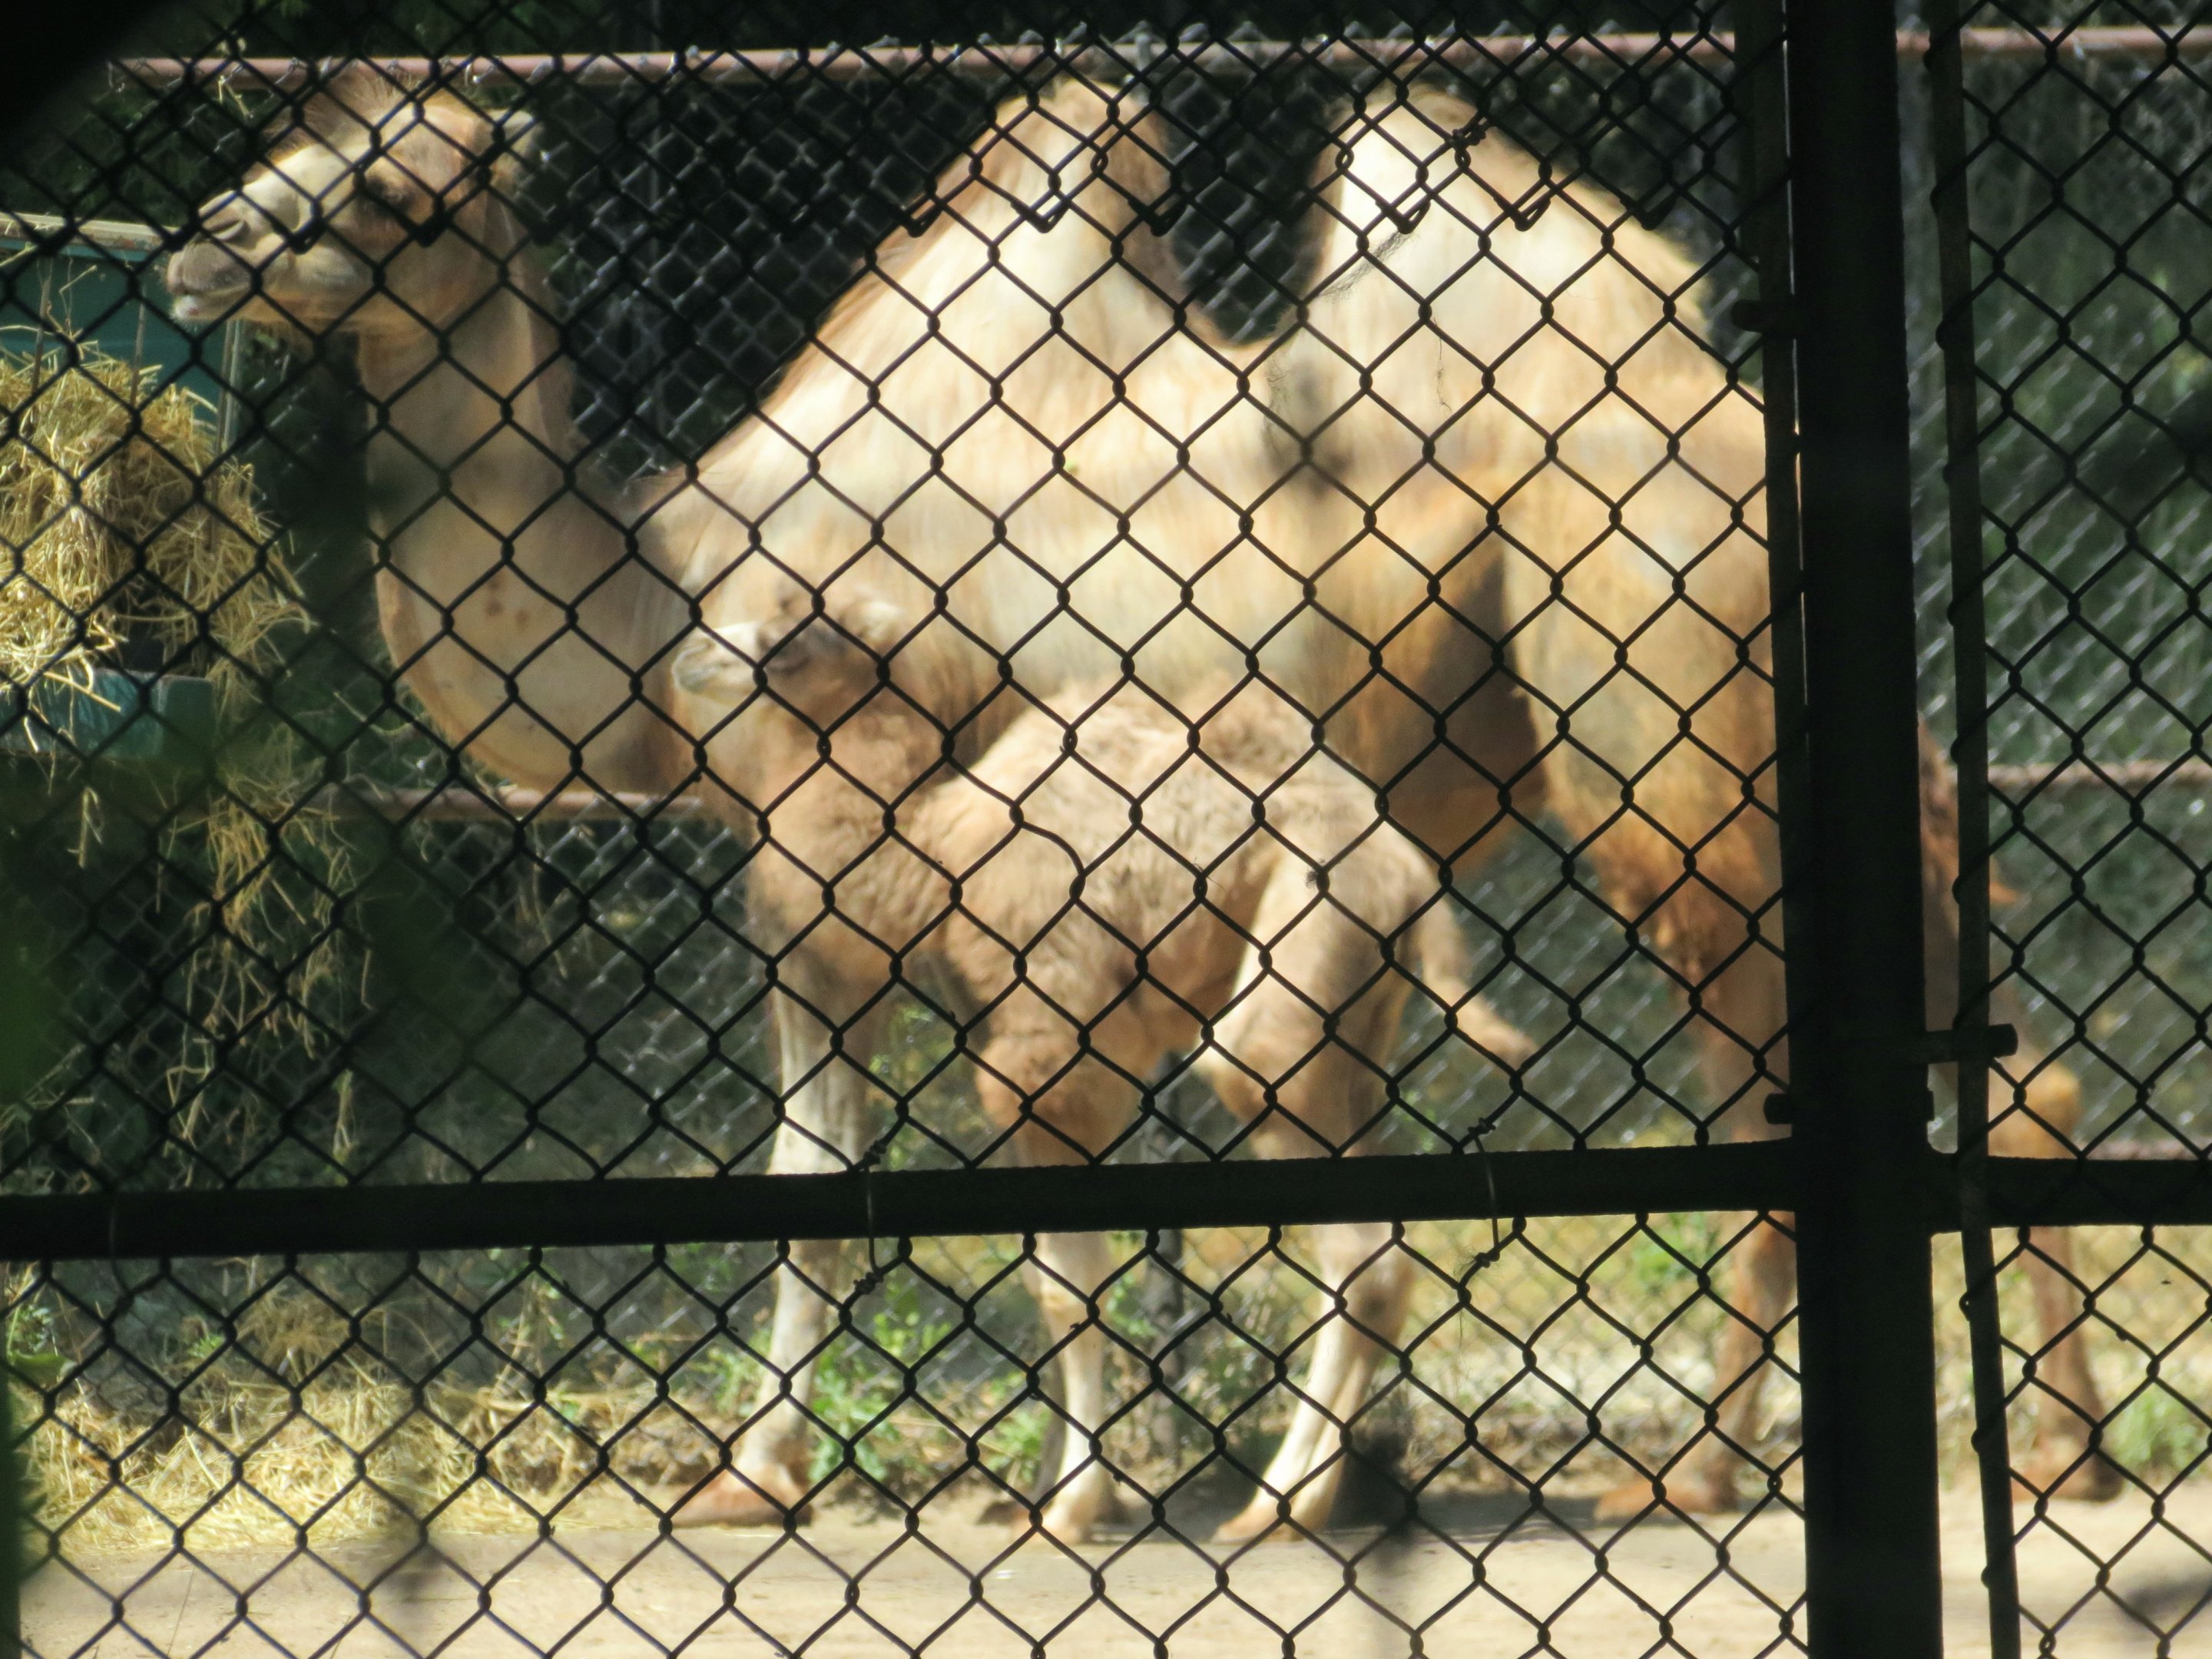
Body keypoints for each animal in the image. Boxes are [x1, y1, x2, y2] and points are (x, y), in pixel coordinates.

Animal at [674, 581, 1532, 1539]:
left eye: (796, 631)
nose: (694, 656)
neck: (933, 853)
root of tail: (1411, 874)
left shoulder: (1048, 1058)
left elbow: (1065, 1288)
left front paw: (1071, 1506)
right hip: (1357, 1026)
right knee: (1376, 1251)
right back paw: (1293, 1500)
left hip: (1296, 966)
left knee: (1348, 1239)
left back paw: (1275, 1509)